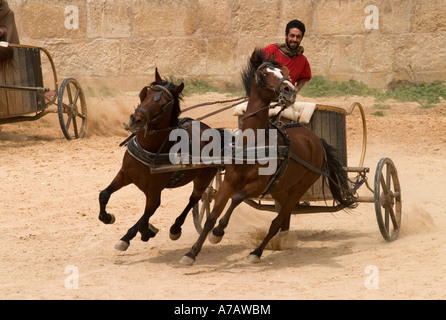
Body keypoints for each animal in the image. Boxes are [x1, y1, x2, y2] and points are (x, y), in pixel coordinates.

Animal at [99, 69, 221, 251]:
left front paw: (136, 235)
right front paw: (107, 217)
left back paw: (175, 228)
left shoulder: (154, 191)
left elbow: (145, 217)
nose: (136, 120)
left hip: (204, 178)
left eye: (164, 104)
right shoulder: (125, 174)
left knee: (194, 199)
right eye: (146, 93)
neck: (151, 149)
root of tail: (212, 130)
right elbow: (104, 194)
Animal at [179, 49, 358, 264]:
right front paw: (191, 253)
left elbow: (237, 199)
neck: (252, 145)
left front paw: (219, 232)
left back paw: (257, 252)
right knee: (283, 218)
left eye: (283, 73)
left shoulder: (259, 186)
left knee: (277, 221)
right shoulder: (228, 183)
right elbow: (210, 217)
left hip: (299, 188)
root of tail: (315, 140)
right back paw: (280, 240)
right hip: (281, 188)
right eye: (264, 73)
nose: (289, 90)